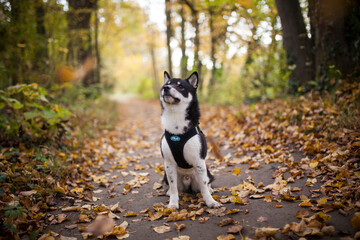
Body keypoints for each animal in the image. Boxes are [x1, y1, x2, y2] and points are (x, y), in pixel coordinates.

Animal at [160, 70, 219, 209]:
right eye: (167, 83)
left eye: (180, 86)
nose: (166, 88)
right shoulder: (169, 164)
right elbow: (173, 187)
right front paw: (173, 203)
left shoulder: (199, 161)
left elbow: (204, 186)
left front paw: (210, 201)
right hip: (166, 174)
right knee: (172, 186)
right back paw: (169, 191)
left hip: (206, 172)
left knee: (206, 184)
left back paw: (210, 189)